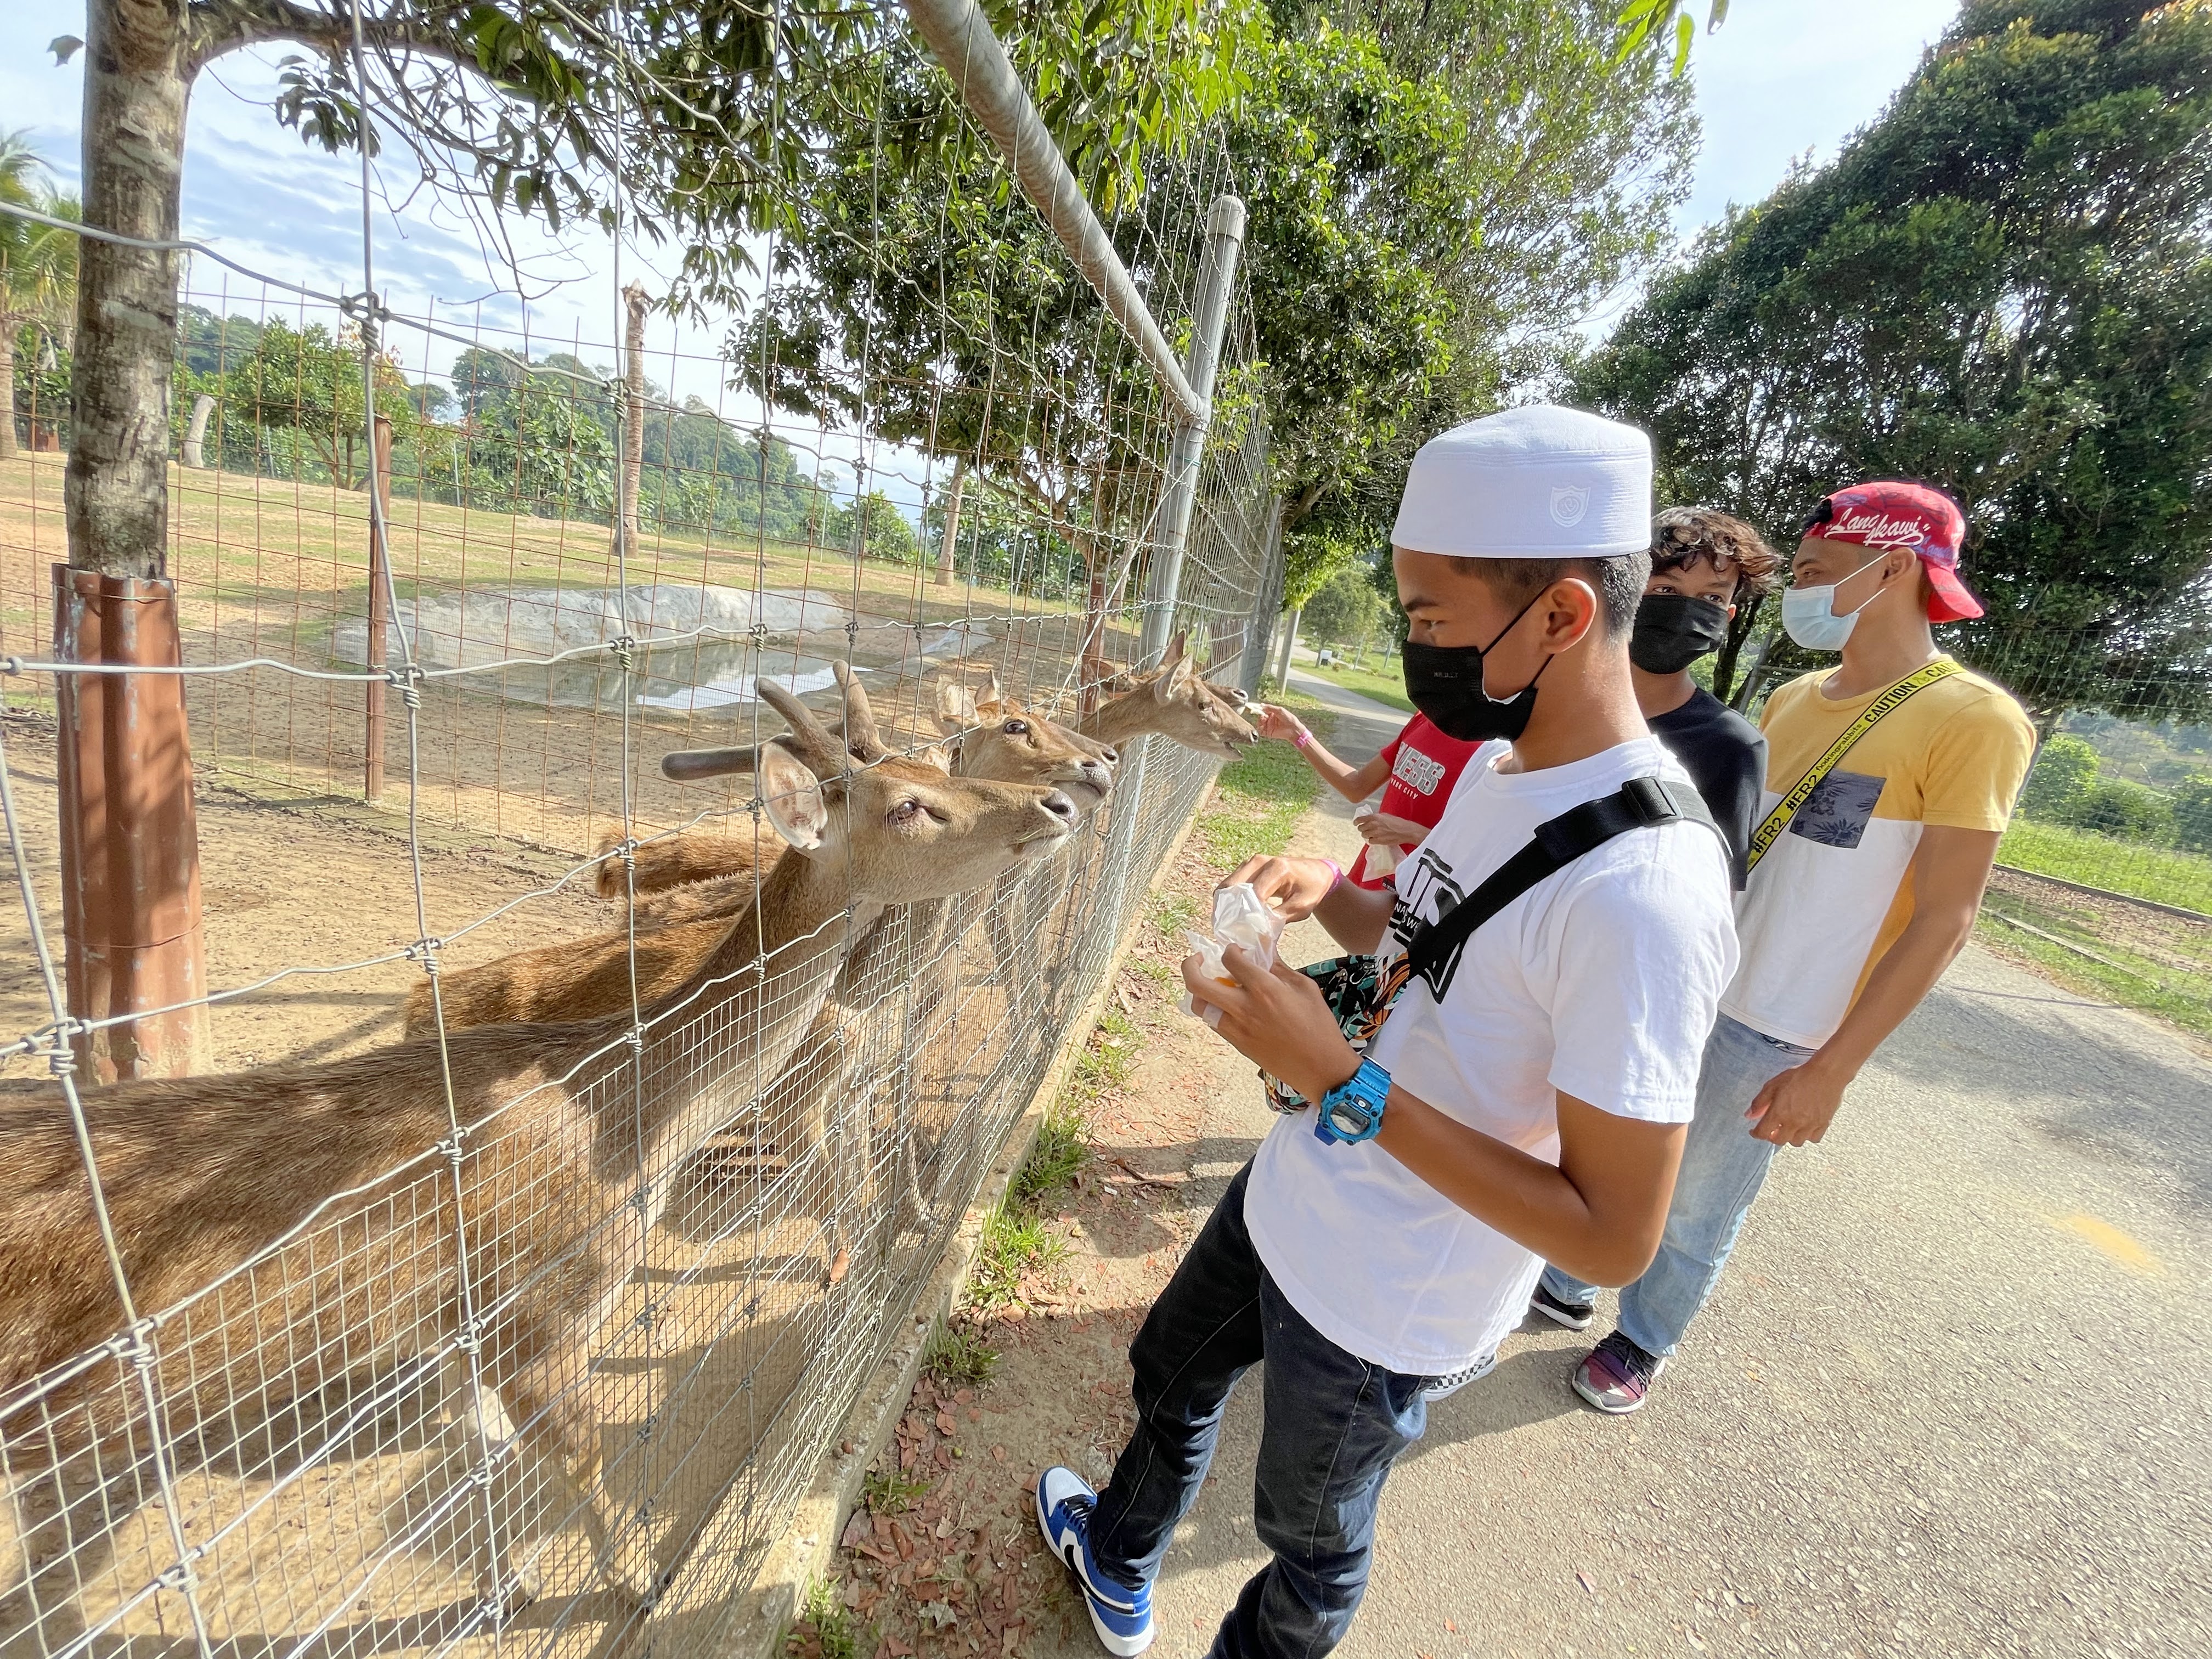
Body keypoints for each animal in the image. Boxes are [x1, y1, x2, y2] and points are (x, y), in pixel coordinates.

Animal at [0, 668, 1075, 1628]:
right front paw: (634, 1585)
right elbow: (583, 1470)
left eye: (929, 761)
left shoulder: (454, 1330)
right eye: (910, 805)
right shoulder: (537, 1318)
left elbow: (483, 1465)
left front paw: (505, 1588)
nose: (1059, 800)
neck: (632, 1127)